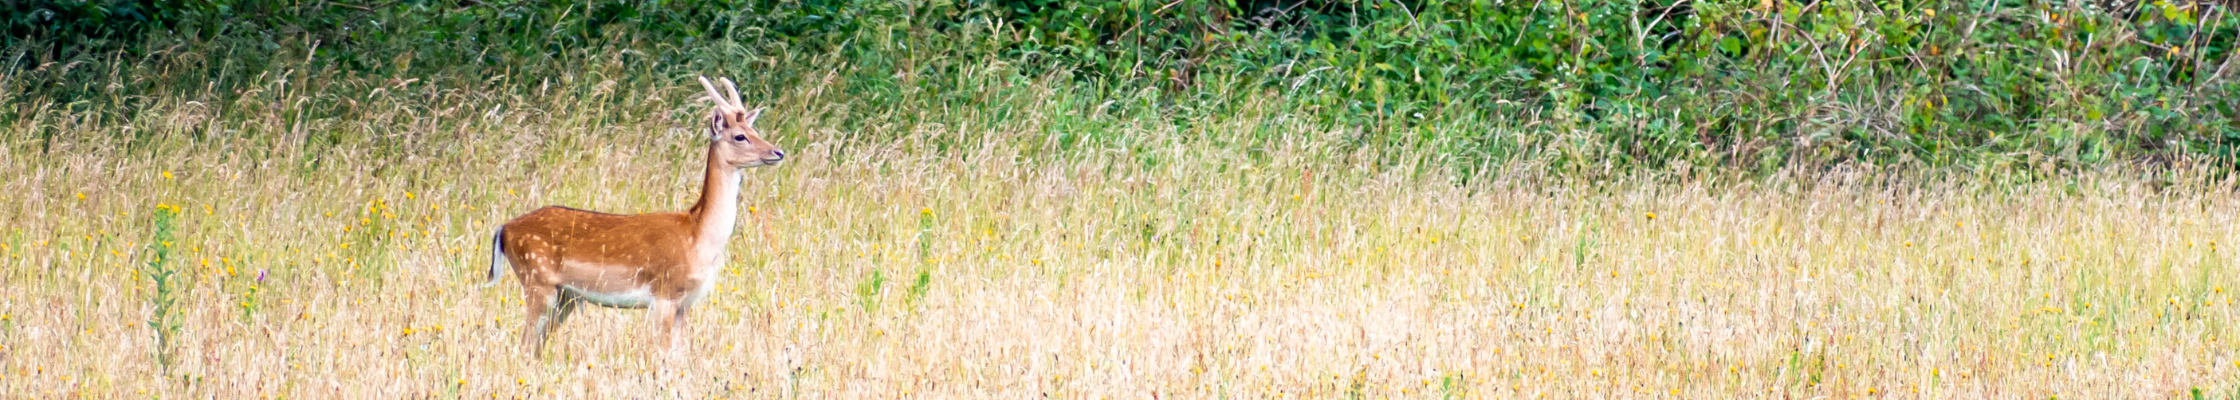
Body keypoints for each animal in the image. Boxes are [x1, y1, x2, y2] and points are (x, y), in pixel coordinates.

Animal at [485, 76, 784, 355]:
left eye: (754, 129)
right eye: (740, 136)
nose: (777, 152)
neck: (697, 236)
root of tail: (503, 229)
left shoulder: (685, 304)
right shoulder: (664, 294)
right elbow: (663, 355)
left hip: (564, 296)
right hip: (537, 279)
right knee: (524, 344)